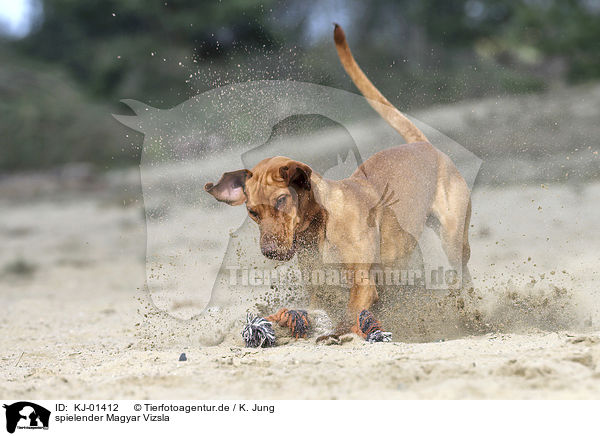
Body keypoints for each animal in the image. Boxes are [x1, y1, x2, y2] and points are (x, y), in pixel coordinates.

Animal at [206, 25, 474, 340]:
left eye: (282, 200)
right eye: (252, 212)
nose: (269, 251)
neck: (320, 228)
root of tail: (423, 146)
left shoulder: (362, 284)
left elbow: (350, 315)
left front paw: (337, 334)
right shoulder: (319, 291)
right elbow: (310, 312)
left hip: (454, 240)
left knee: (463, 274)